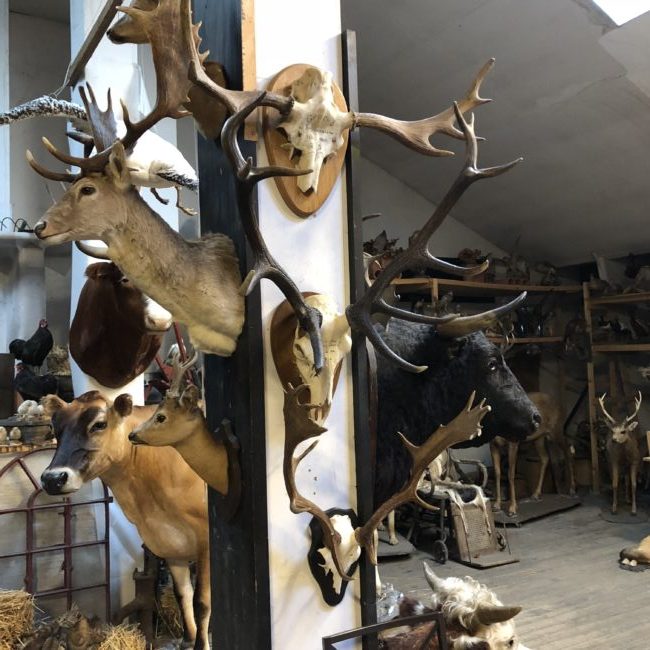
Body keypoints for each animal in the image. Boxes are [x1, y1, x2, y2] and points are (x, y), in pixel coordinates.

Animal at [39, 391, 211, 649]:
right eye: (54, 427)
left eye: (99, 424)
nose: (53, 479)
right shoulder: (171, 544)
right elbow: (183, 595)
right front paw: (188, 640)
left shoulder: (206, 541)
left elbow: (202, 602)